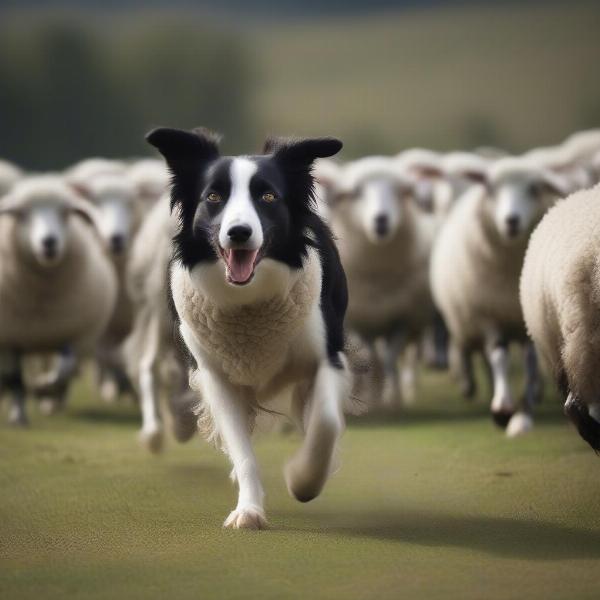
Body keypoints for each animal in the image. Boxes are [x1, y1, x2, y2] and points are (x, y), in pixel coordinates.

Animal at [0, 176, 117, 424]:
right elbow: (15, 379)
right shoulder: (9, 340)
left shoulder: (77, 335)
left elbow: (65, 370)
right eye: (22, 214)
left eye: (65, 213)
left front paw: (45, 390)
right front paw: (18, 415)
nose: (49, 242)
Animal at [147, 127, 350, 528]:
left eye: (268, 196)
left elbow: (325, 424)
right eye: (213, 197)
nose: (239, 232)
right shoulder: (216, 376)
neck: (249, 304)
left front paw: (303, 479)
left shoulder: (326, 356)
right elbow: (242, 449)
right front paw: (249, 510)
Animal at [324, 156, 436, 408]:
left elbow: (388, 357)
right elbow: (370, 355)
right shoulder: (354, 321)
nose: (381, 220)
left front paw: (390, 396)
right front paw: (369, 395)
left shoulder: (402, 319)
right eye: (356, 192)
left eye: (401, 191)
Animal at [428, 156, 568, 436]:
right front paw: (502, 409)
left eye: (534, 189)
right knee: (483, 357)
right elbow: (499, 356)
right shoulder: (487, 317)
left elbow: (530, 362)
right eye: (491, 189)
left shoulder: (527, 319)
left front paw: (524, 412)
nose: (511, 220)